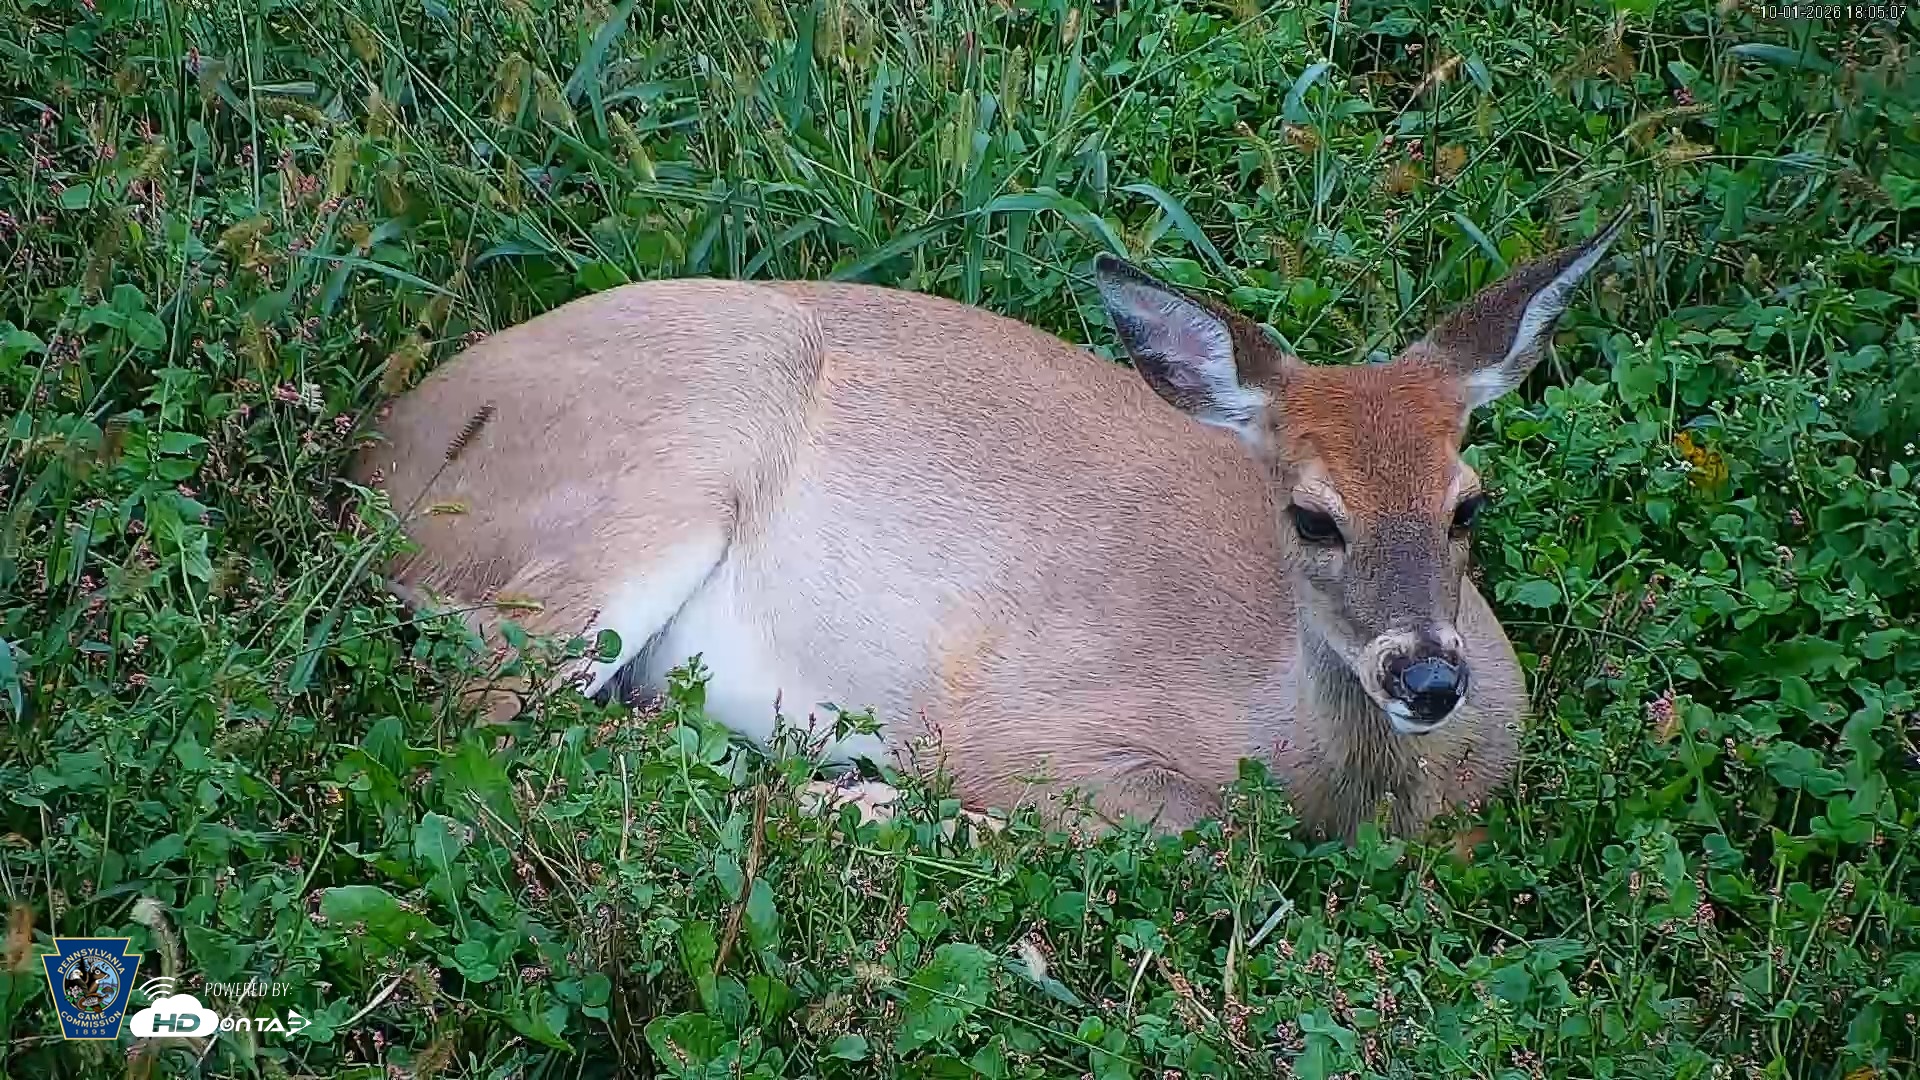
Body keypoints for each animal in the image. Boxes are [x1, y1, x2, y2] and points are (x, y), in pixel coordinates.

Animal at [347, 210, 1628, 843]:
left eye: (1468, 502)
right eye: (1312, 518)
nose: (1428, 678)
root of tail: (378, 454)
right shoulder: (1025, 727)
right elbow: (1195, 837)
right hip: (644, 489)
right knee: (499, 725)